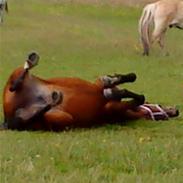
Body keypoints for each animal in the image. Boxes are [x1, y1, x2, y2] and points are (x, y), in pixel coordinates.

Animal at [0, 52, 179, 131]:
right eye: (160, 105)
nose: (176, 111)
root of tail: (7, 120)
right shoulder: (103, 92)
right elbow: (129, 88)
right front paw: (114, 87)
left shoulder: (109, 104)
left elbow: (129, 92)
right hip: (17, 79)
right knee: (18, 79)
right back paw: (31, 62)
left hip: (61, 119)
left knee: (30, 116)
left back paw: (53, 98)